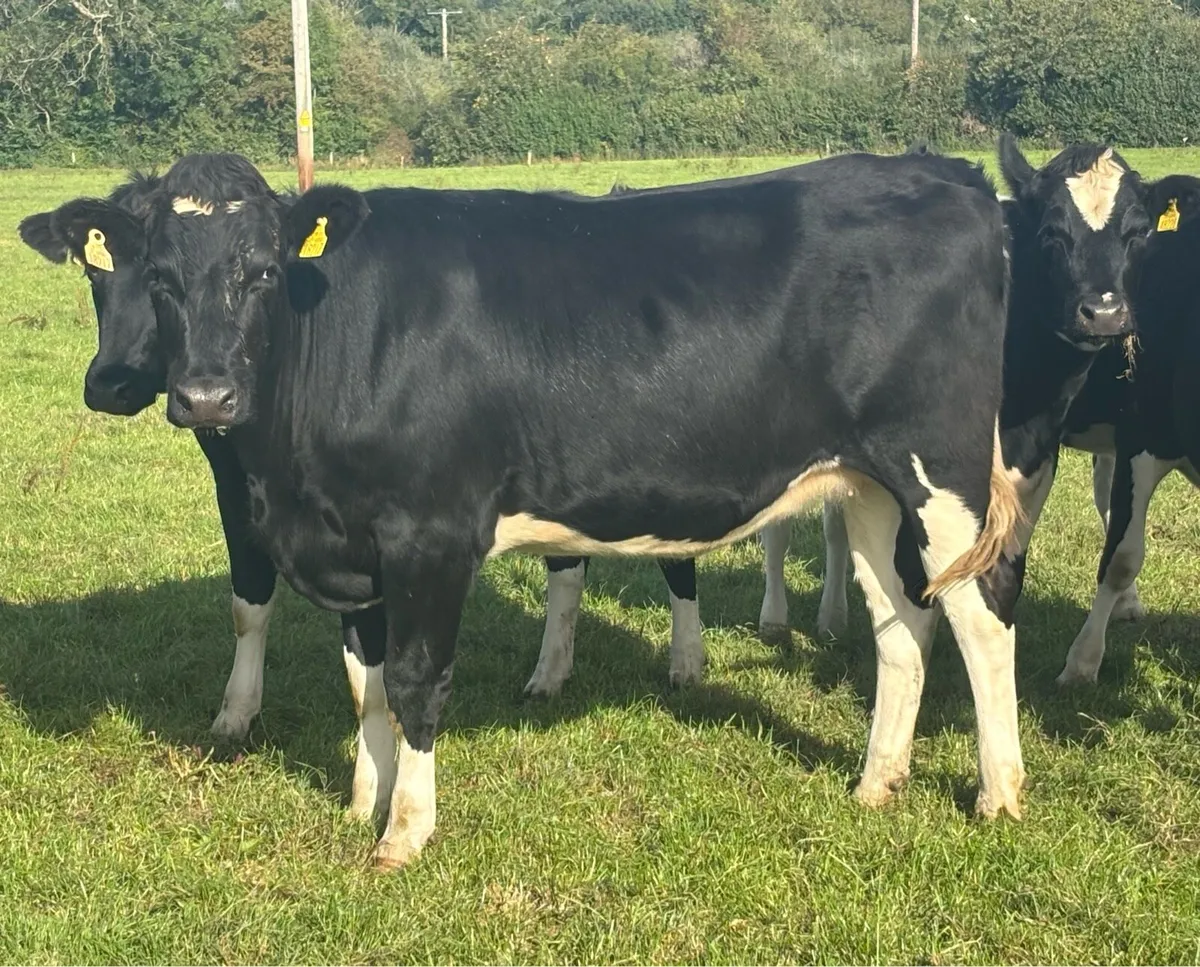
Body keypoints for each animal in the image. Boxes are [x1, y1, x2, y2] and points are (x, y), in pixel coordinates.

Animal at [804, 138, 1151, 653]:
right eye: (1052, 233)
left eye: (1139, 233)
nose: (1104, 313)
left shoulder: (1034, 460)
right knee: (824, 527)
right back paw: (816, 616)